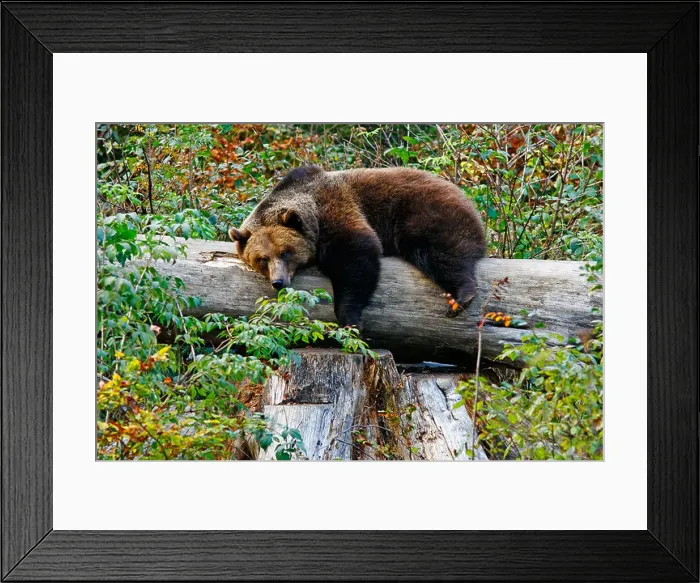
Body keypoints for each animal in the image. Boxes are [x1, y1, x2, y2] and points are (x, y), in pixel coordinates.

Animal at [229, 165, 485, 328]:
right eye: (262, 259)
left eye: (285, 252)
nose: (279, 282)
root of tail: (463, 194)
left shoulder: (335, 210)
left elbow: (355, 258)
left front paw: (350, 319)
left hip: (425, 212)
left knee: (440, 251)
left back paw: (461, 296)